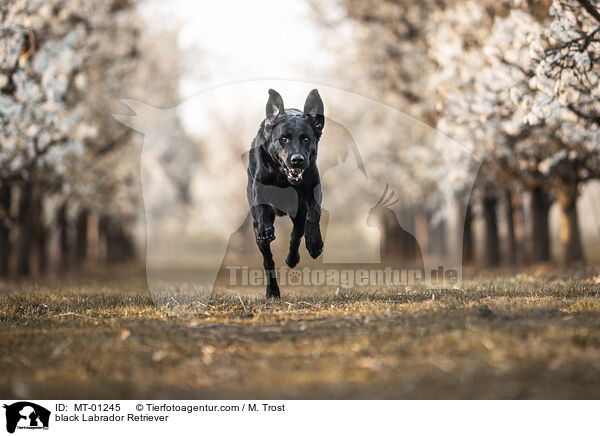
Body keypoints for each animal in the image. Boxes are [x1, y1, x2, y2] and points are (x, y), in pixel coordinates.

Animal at [247, 90, 326, 298]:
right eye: (283, 138)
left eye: (306, 139)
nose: (297, 160)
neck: (284, 179)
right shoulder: (259, 190)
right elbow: (263, 210)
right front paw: (267, 230)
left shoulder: (314, 187)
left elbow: (314, 214)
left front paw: (314, 242)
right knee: (268, 260)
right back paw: (273, 290)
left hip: (297, 213)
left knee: (295, 234)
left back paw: (292, 258)